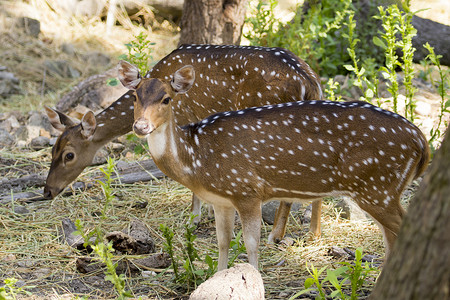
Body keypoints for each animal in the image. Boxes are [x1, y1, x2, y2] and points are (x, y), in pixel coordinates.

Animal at [43, 44, 324, 241]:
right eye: (52, 150)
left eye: (69, 155)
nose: (47, 191)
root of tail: (308, 81)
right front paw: (208, 212)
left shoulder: (188, 118)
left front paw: (194, 218)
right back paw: (313, 234)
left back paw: (276, 234)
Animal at [119, 63, 428, 272]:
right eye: (134, 97)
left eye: (166, 98)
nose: (141, 126)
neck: (197, 159)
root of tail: (421, 141)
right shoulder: (221, 200)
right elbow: (223, 241)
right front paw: (219, 277)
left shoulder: (247, 190)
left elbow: (250, 243)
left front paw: (253, 278)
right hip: (381, 190)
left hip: (377, 187)